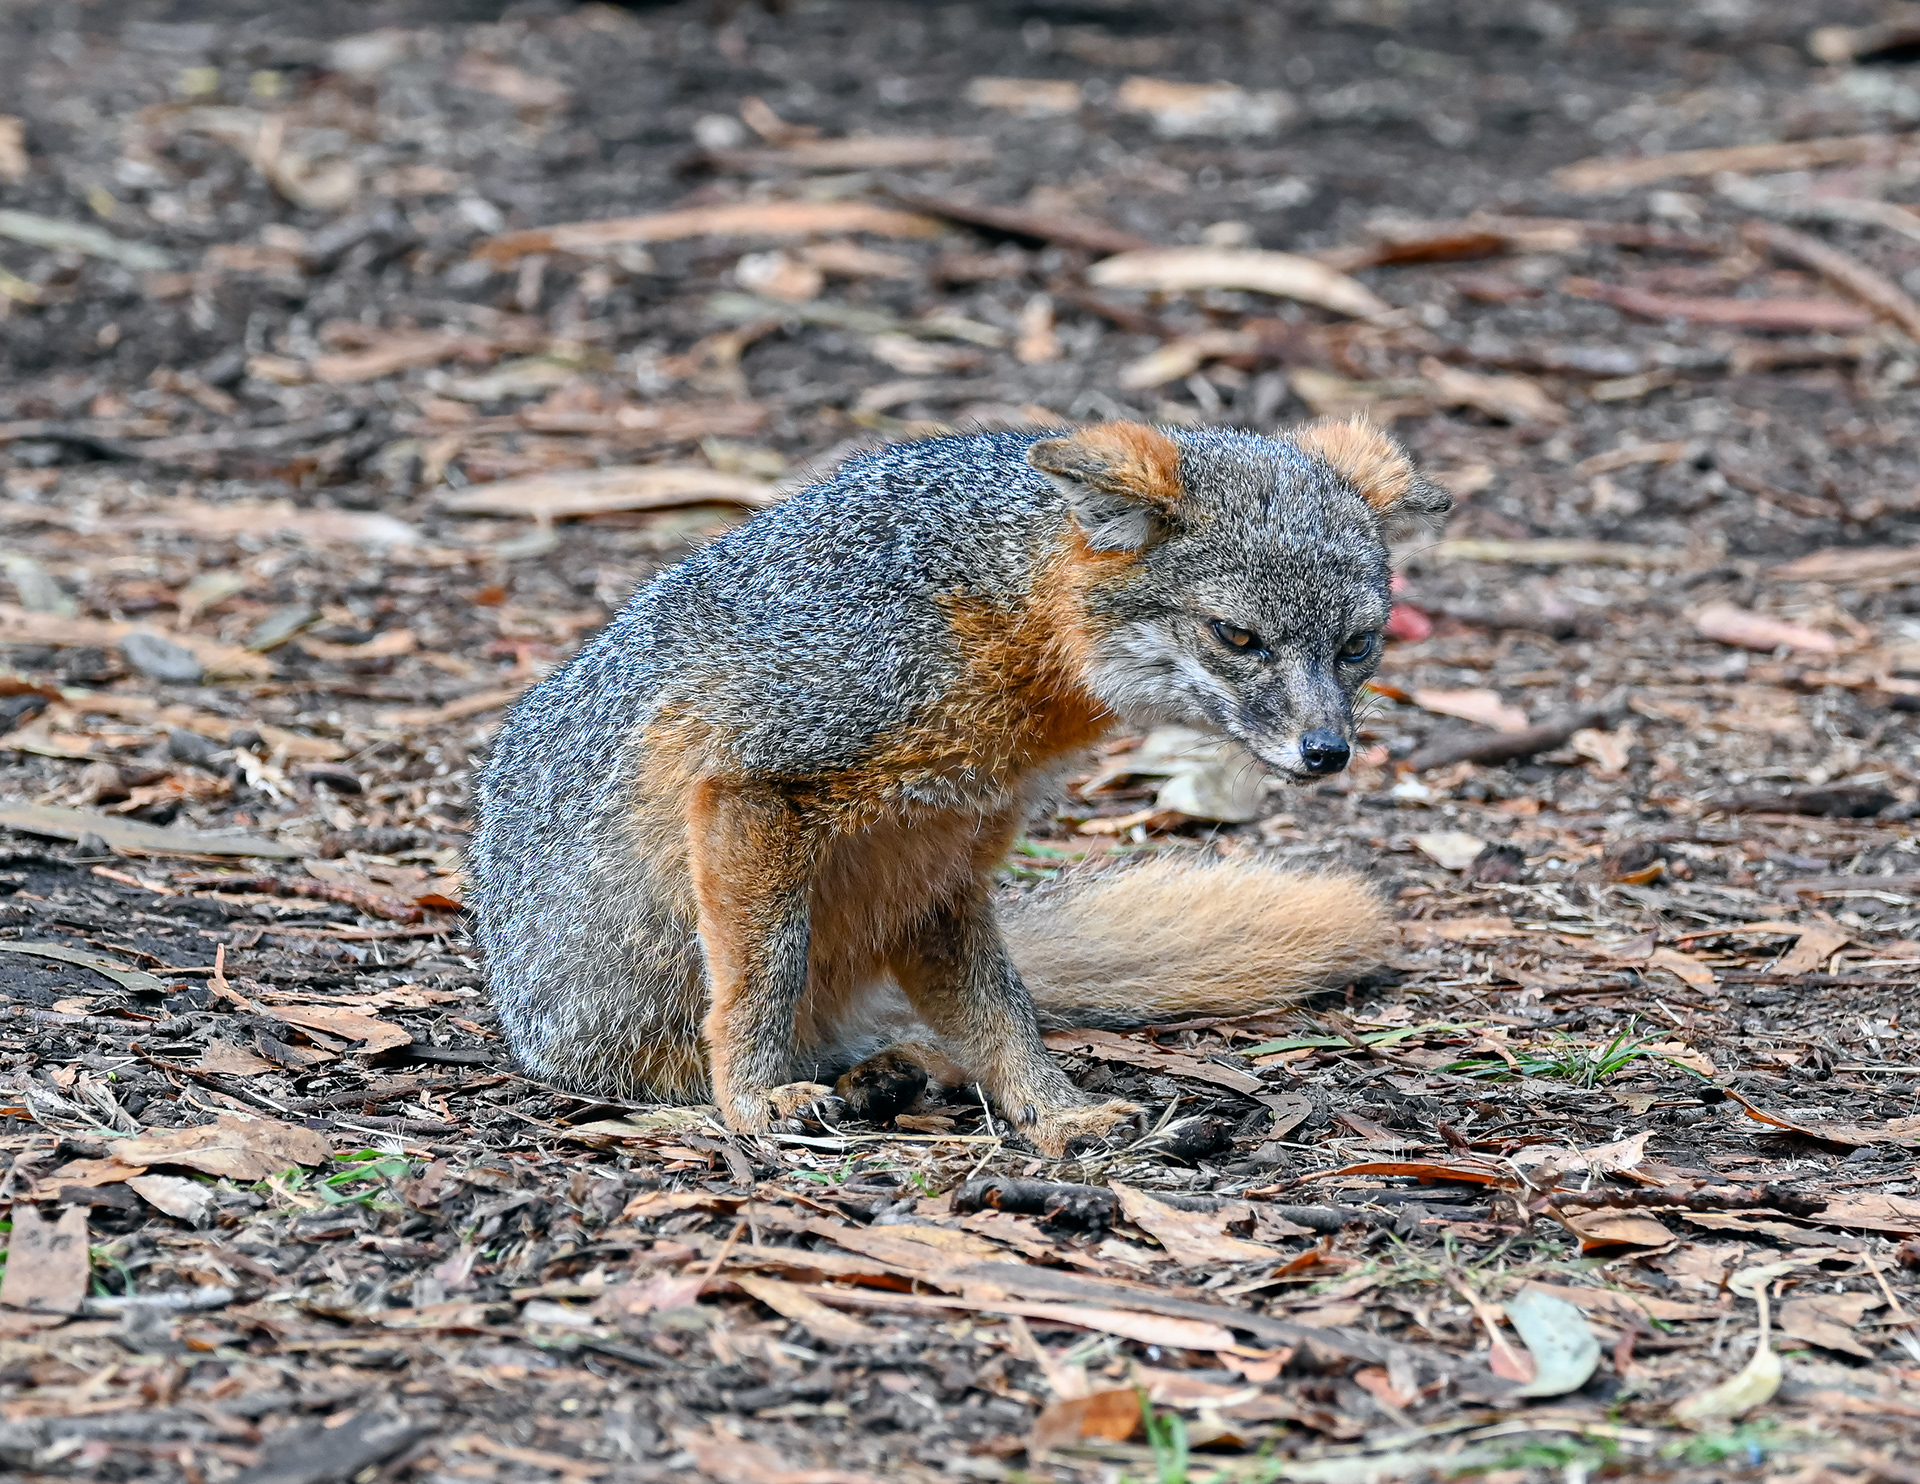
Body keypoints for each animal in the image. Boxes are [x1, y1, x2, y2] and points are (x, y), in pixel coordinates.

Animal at [467, 418, 1449, 1156]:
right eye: (1237, 637)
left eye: (1357, 645)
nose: (1327, 751)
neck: (992, 610)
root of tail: (522, 1014)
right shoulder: (753, 784)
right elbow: (760, 975)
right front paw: (750, 1097)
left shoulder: (941, 849)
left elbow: (1000, 1011)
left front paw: (1054, 1111)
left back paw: (890, 1071)